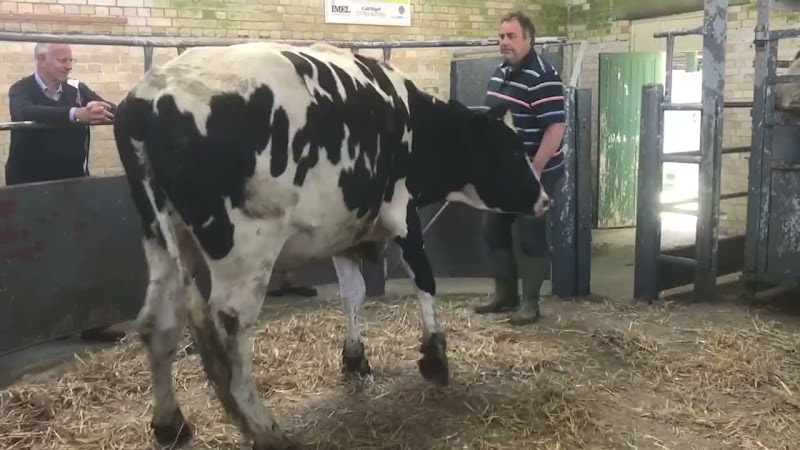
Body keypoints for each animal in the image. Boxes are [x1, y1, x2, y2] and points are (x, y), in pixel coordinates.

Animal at [112, 41, 551, 449]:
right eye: (513, 149)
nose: (545, 199)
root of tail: (149, 95)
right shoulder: (403, 213)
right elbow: (425, 280)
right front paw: (435, 357)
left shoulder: (343, 229)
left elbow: (352, 293)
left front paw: (355, 358)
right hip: (245, 249)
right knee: (229, 331)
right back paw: (266, 430)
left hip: (163, 239)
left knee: (157, 324)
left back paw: (170, 423)